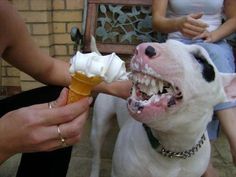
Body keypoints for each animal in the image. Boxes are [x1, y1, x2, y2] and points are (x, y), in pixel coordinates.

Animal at [89, 40, 236, 177]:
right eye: (167, 42)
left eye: (200, 59)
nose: (142, 48)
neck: (172, 149)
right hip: (99, 125)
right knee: (96, 154)